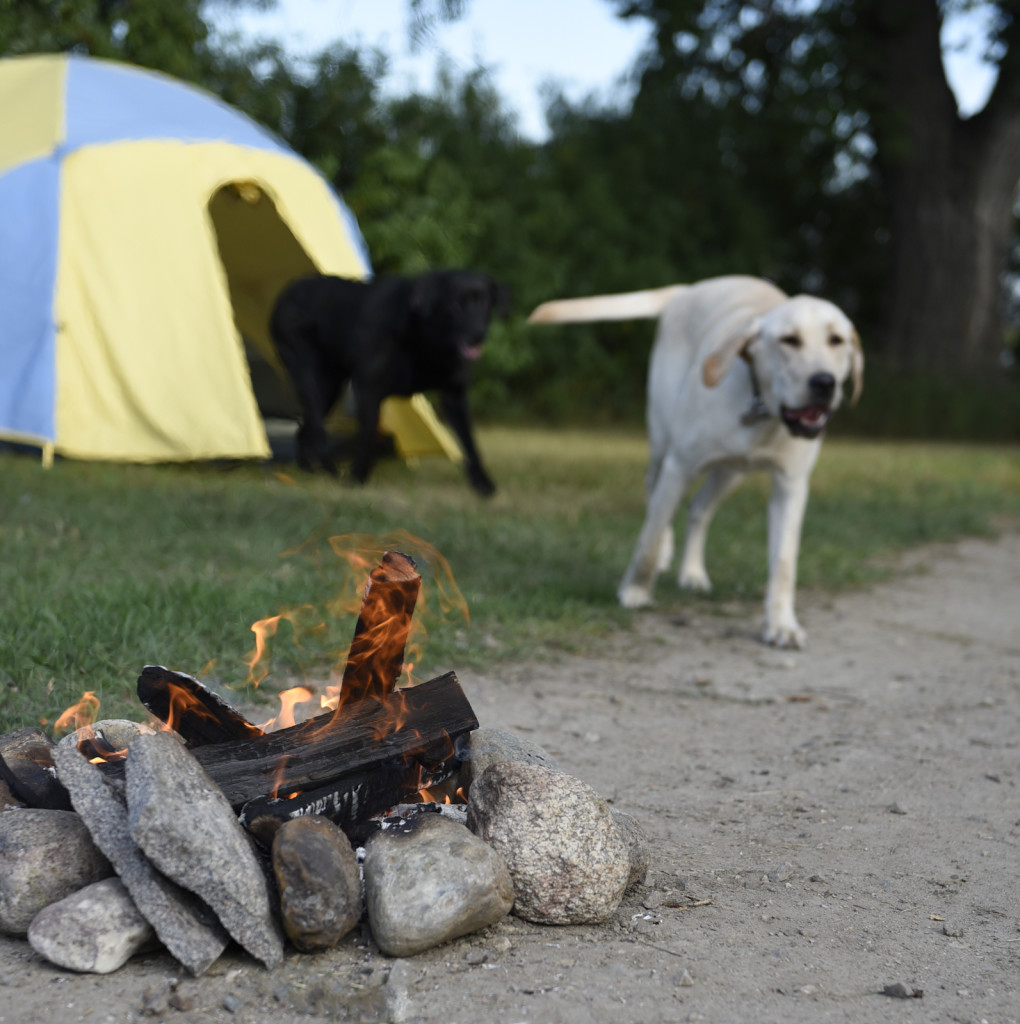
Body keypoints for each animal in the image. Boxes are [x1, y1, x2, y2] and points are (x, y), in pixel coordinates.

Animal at [270, 272, 510, 495]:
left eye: (485, 303)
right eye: (456, 304)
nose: (479, 335)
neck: (425, 338)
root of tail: (286, 292)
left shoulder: (455, 395)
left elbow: (470, 443)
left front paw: (482, 483)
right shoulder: (367, 388)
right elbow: (367, 437)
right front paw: (357, 477)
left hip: (330, 387)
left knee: (305, 428)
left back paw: (308, 470)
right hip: (311, 377)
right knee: (317, 431)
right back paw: (330, 472)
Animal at [532, 278, 860, 647]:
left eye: (837, 340)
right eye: (789, 340)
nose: (824, 382)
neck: (759, 409)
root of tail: (687, 289)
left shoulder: (790, 487)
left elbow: (784, 564)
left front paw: (781, 624)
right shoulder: (680, 465)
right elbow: (649, 537)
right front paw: (635, 590)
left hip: (731, 473)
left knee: (699, 509)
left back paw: (692, 572)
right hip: (662, 441)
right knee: (653, 497)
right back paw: (663, 552)